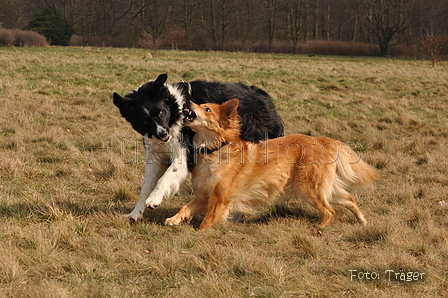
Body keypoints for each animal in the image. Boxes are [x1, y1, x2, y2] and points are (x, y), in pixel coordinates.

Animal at [115, 74, 284, 221]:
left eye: (161, 112)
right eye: (144, 121)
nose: (163, 134)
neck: (176, 109)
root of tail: (264, 97)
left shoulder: (182, 155)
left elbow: (164, 178)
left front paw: (154, 199)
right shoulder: (156, 156)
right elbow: (146, 187)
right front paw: (135, 213)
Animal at [165, 99, 378, 229]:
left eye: (206, 108)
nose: (188, 101)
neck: (215, 149)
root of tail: (322, 140)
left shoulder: (220, 198)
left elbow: (208, 220)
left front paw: (201, 232)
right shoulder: (203, 195)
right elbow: (186, 208)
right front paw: (174, 219)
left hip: (309, 188)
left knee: (331, 211)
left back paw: (321, 227)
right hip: (325, 189)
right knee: (349, 200)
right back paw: (362, 221)